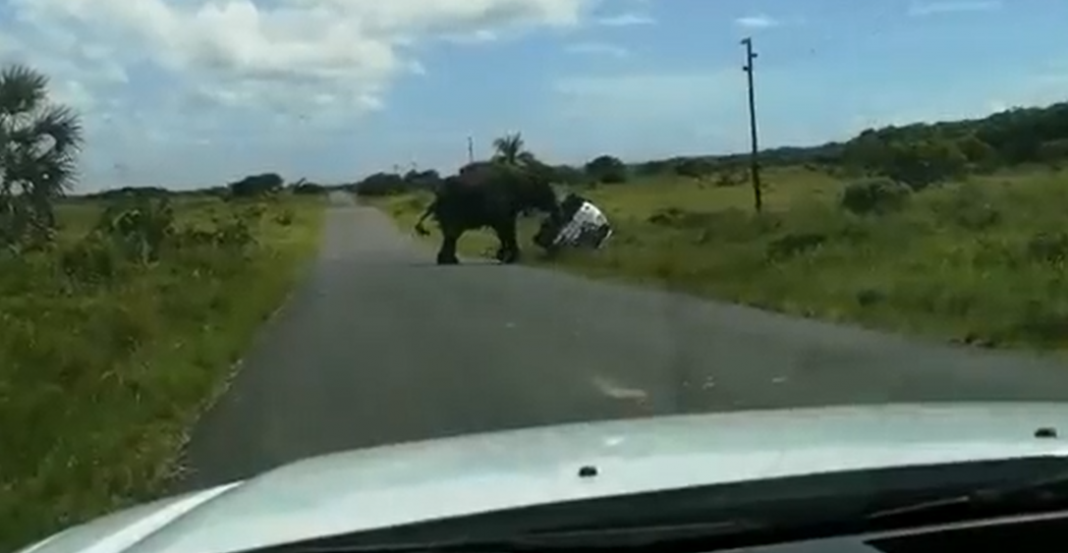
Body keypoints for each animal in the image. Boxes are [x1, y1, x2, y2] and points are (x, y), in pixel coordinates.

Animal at [414, 161, 562, 265]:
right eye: (548, 191)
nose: (557, 212)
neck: (523, 176)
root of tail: (437, 197)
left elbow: (503, 231)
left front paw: (502, 257)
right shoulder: (502, 206)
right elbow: (507, 230)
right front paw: (510, 258)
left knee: (451, 235)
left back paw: (448, 261)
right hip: (452, 208)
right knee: (452, 234)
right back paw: (449, 261)